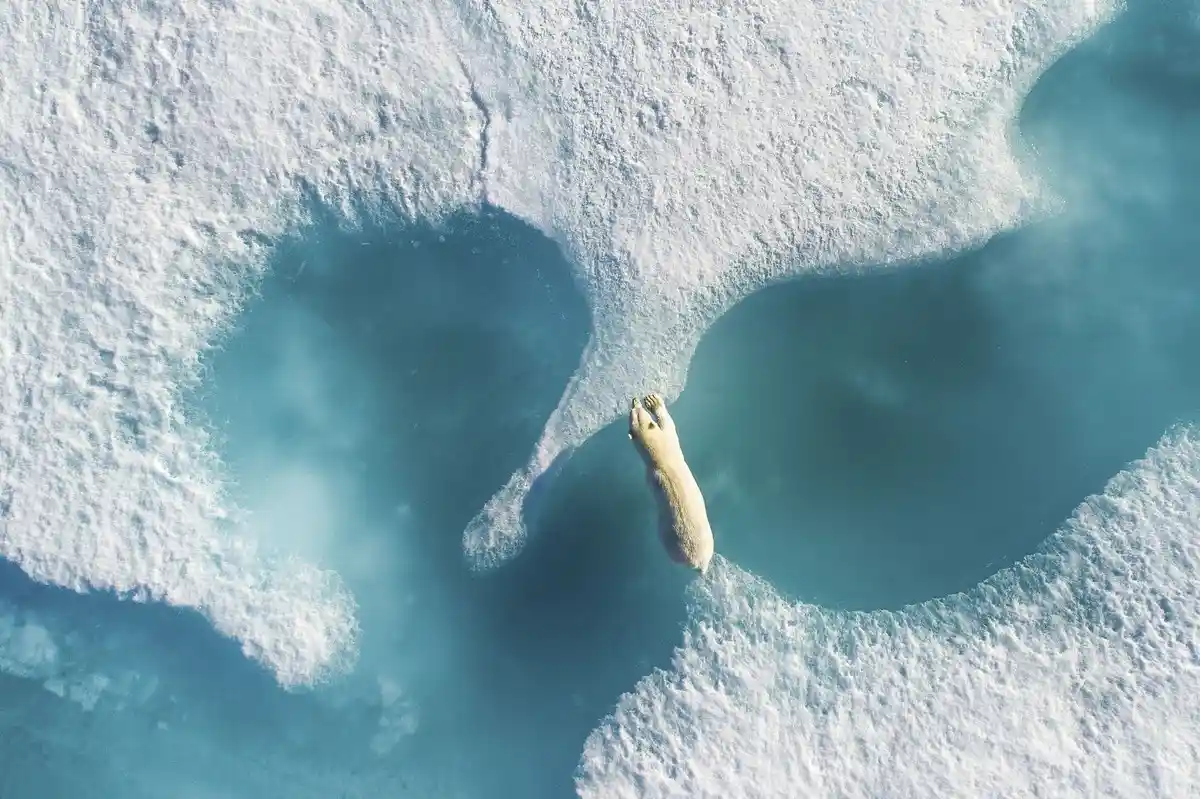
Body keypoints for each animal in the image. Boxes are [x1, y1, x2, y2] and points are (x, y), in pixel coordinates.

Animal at [628, 393, 715, 575]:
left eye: (637, 411)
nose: (634, 400)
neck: (659, 460)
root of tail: (699, 563)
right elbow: (668, 425)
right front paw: (654, 401)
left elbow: (668, 426)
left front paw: (651, 401)